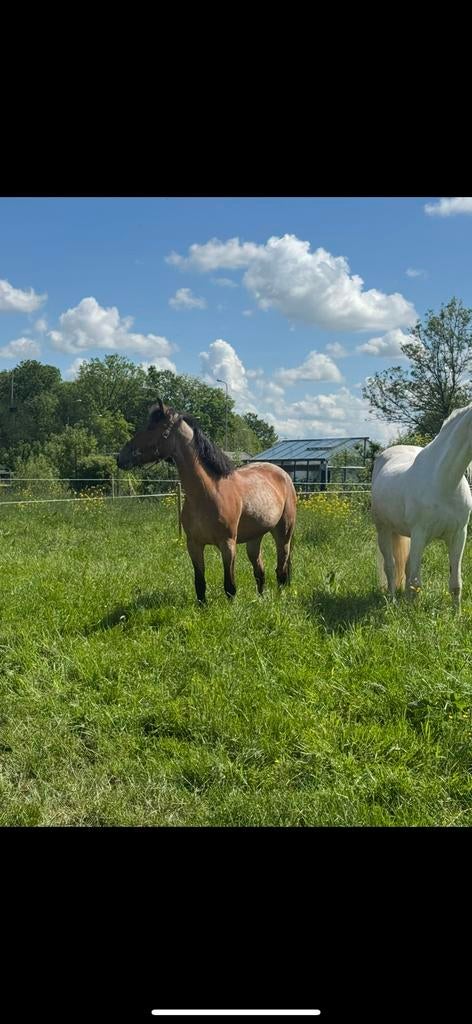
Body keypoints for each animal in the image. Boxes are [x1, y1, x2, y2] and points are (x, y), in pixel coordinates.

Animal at [117, 399, 297, 603]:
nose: (120, 458)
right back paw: (260, 599)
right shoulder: (194, 545)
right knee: (260, 571)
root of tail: (284, 475)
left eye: (153, 428)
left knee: (281, 570)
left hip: (283, 534)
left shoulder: (228, 545)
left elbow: (229, 586)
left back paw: (279, 597)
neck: (207, 493)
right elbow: (200, 584)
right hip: (255, 538)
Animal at [371, 404, 472, 613]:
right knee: (391, 567)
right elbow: (415, 580)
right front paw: (412, 615)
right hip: (384, 530)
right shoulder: (420, 533)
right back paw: (392, 601)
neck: (444, 481)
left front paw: (456, 615)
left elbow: (455, 582)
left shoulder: (459, 535)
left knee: (407, 568)